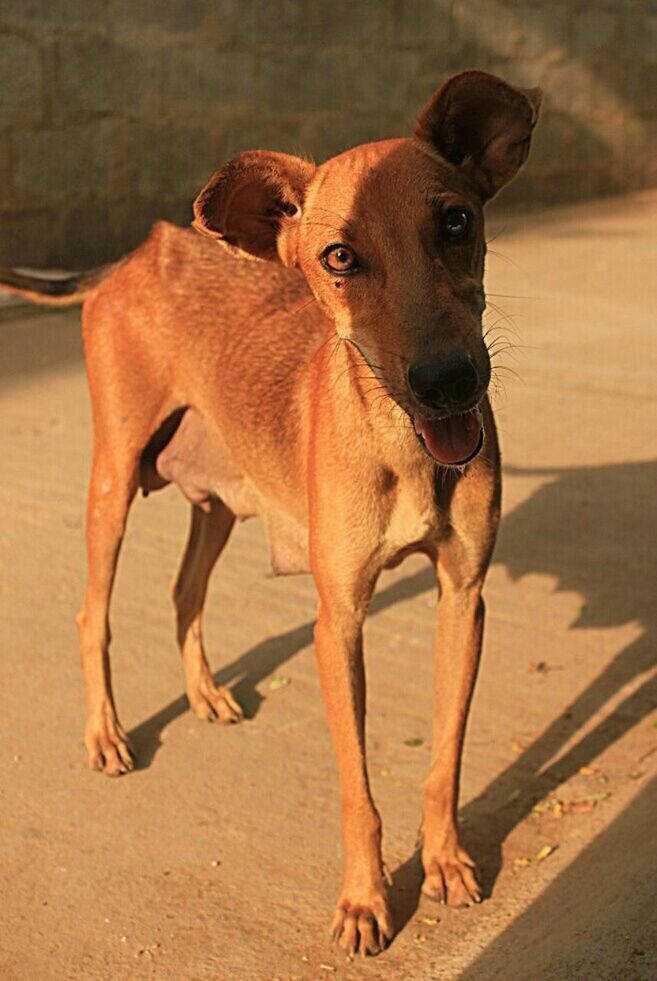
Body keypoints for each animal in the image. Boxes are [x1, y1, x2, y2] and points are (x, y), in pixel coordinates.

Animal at [1, 71, 540, 956]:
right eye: (339, 257)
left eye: (456, 221)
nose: (449, 381)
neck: (400, 443)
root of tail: (141, 251)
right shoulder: (338, 621)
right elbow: (356, 787)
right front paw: (363, 900)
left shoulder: (464, 598)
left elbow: (446, 755)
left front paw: (446, 861)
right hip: (111, 483)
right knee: (91, 614)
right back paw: (107, 734)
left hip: (218, 500)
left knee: (183, 591)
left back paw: (206, 694)